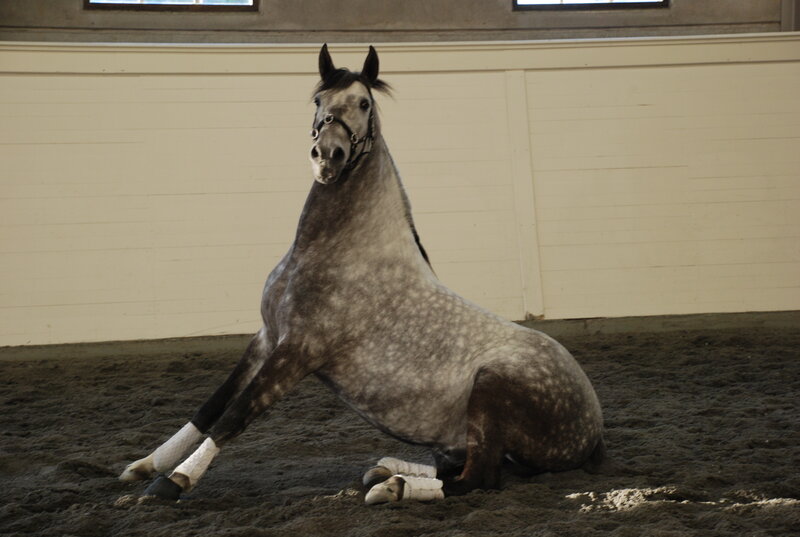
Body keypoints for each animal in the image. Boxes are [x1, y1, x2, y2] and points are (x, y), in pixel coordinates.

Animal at [119, 44, 605, 504]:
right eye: (319, 100)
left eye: (364, 103)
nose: (327, 155)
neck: (337, 253)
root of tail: (594, 427)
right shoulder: (267, 337)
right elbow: (210, 407)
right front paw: (145, 465)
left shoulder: (298, 351)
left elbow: (236, 415)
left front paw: (173, 481)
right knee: (458, 467)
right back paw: (385, 469)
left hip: (491, 390)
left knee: (478, 478)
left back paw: (395, 487)